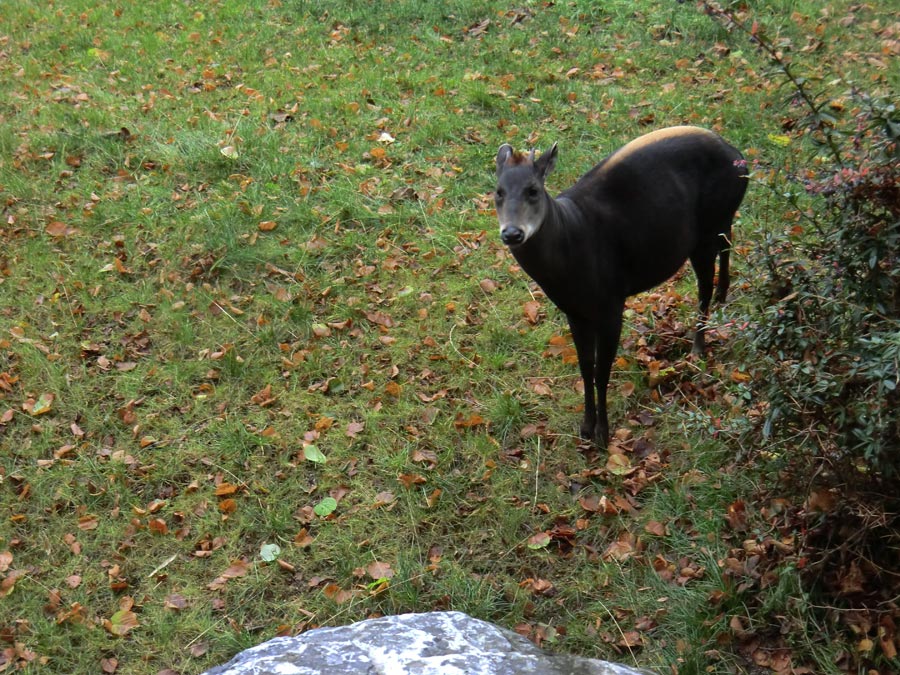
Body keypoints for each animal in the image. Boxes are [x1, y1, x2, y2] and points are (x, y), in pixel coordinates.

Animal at [496, 125, 748, 448]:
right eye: (498, 192)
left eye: (533, 190)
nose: (512, 233)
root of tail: (738, 157)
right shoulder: (574, 312)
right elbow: (585, 368)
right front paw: (585, 427)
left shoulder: (611, 304)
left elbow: (601, 373)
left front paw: (602, 434)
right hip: (719, 221)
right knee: (727, 242)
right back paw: (722, 295)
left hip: (704, 230)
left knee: (704, 285)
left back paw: (698, 347)